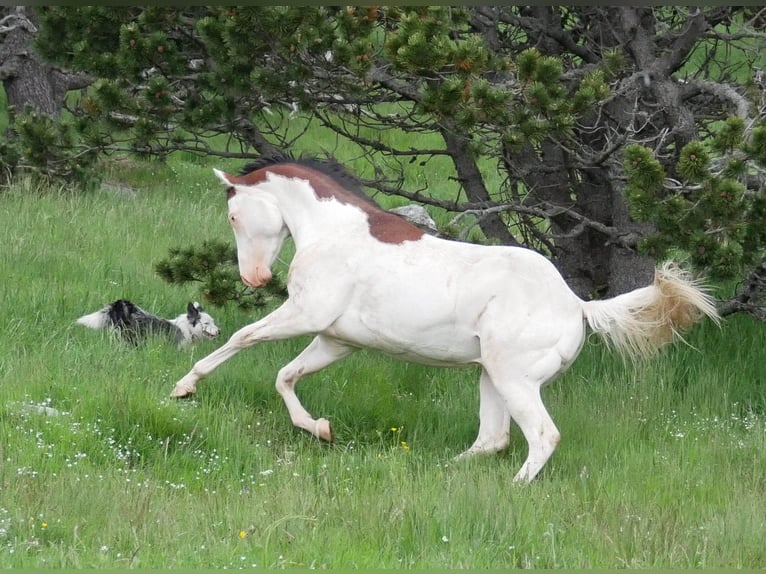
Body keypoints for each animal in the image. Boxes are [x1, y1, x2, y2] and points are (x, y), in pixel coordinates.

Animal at [171, 155, 724, 484]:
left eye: (234, 216)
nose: (255, 278)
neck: (335, 233)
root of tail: (576, 305)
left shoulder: (306, 314)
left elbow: (242, 338)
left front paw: (184, 387)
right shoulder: (336, 340)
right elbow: (286, 376)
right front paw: (320, 430)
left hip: (514, 380)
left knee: (542, 437)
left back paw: (514, 488)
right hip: (491, 377)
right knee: (492, 439)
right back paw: (442, 471)